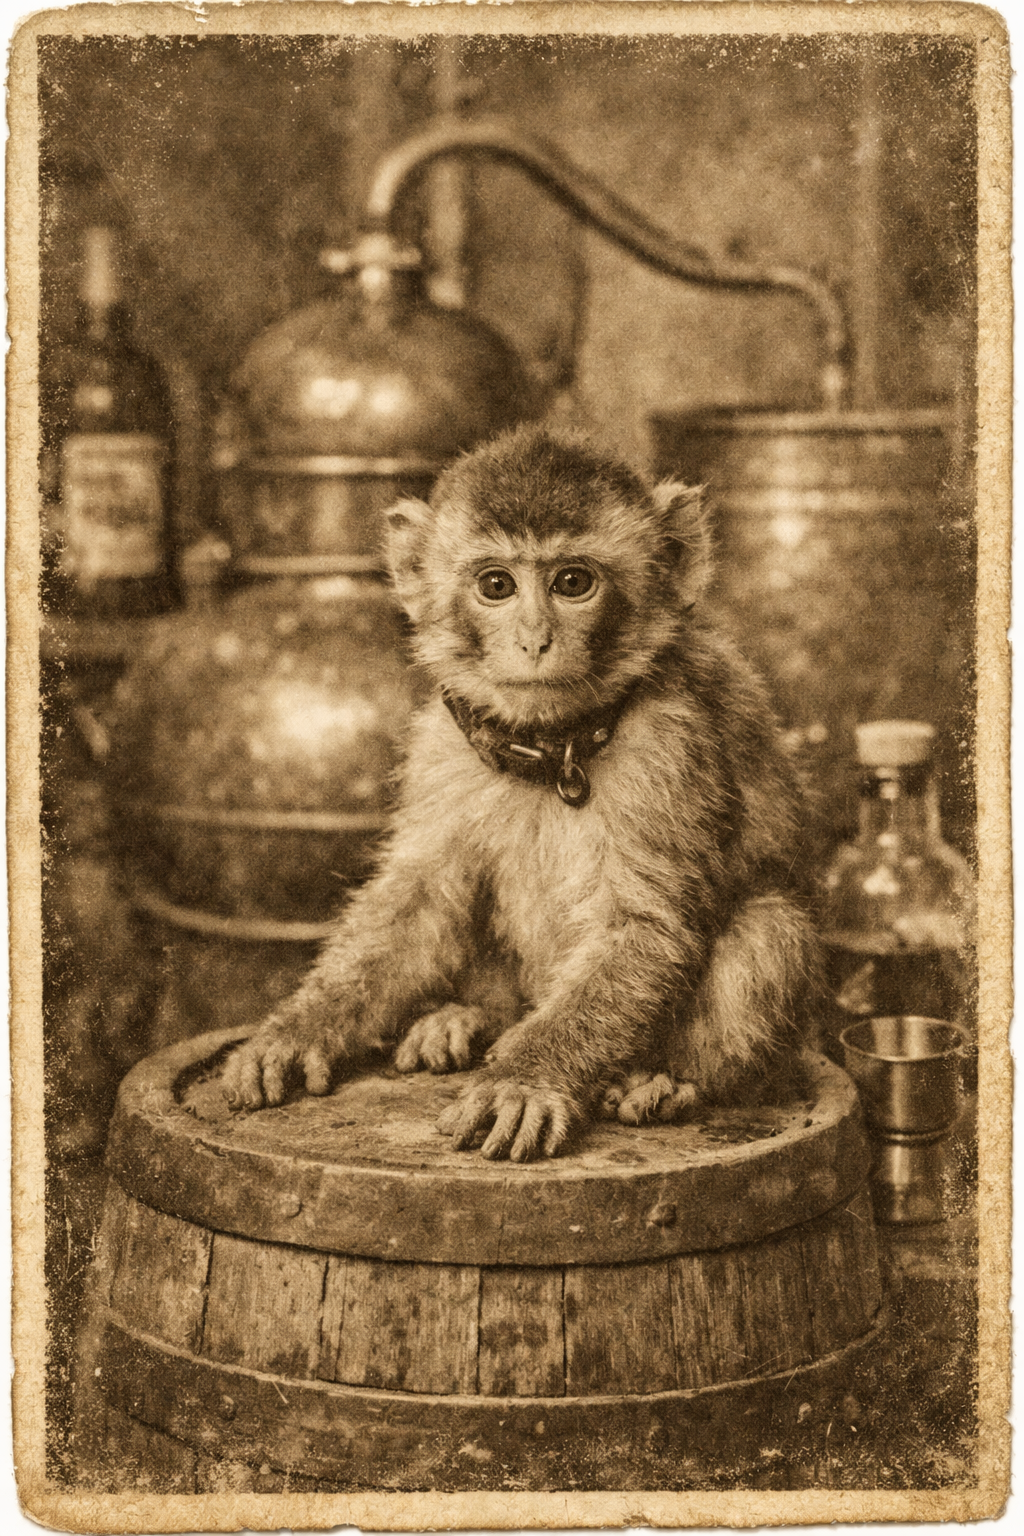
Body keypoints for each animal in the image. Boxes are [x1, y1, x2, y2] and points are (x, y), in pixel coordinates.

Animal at [221, 424, 819, 1161]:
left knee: (771, 929)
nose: (535, 640)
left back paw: (668, 1082)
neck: (552, 747)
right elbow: (418, 899)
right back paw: (466, 1017)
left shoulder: (667, 751)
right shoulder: (444, 744)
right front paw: (300, 1027)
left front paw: (524, 1081)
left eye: (573, 582)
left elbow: (641, 926)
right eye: (496, 585)